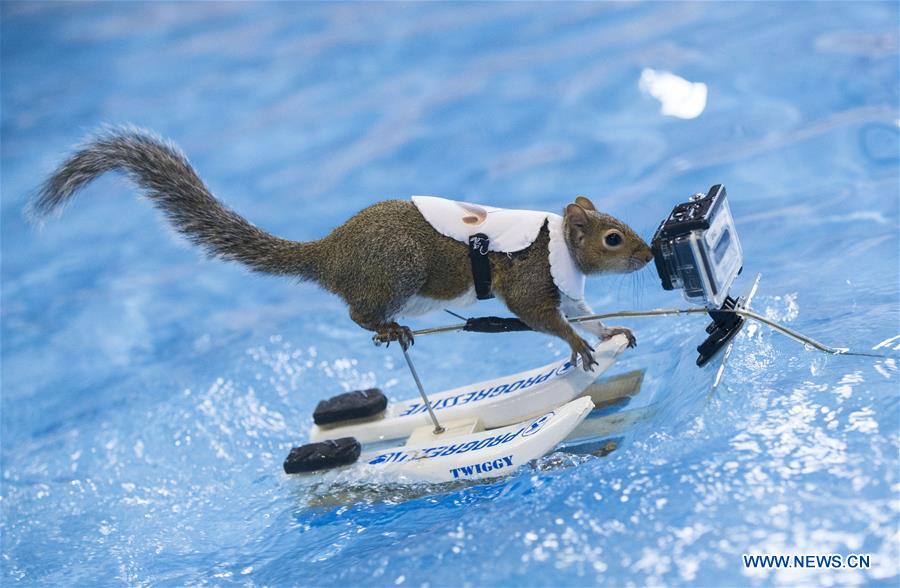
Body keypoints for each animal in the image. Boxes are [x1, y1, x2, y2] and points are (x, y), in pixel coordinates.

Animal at [32, 127, 653, 370]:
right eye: (613, 237)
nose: (648, 257)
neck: (558, 247)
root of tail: (327, 255)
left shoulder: (567, 289)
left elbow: (586, 314)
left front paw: (610, 330)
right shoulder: (525, 279)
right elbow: (539, 317)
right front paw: (576, 344)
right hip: (397, 272)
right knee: (358, 313)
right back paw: (389, 328)